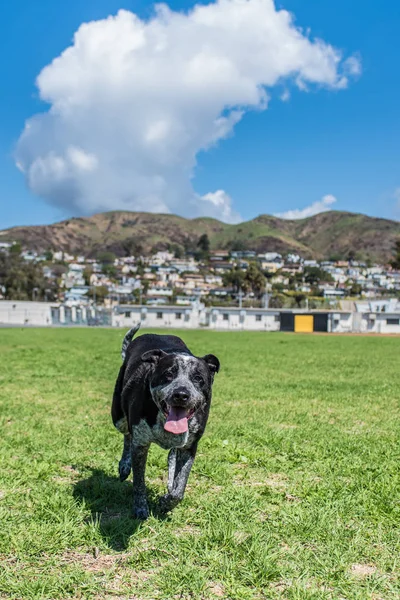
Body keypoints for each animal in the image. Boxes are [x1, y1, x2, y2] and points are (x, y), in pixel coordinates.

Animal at [111, 324, 220, 520]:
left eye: (198, 378)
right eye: (168, 374)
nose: (181, 395)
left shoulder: (189, 447)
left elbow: (179, 489)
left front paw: (166, 502)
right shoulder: (140, 444)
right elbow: (139, 482)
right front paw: (140, 509)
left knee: (171, 455)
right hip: (118, 417)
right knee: (127, 435)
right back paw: (124, 465)